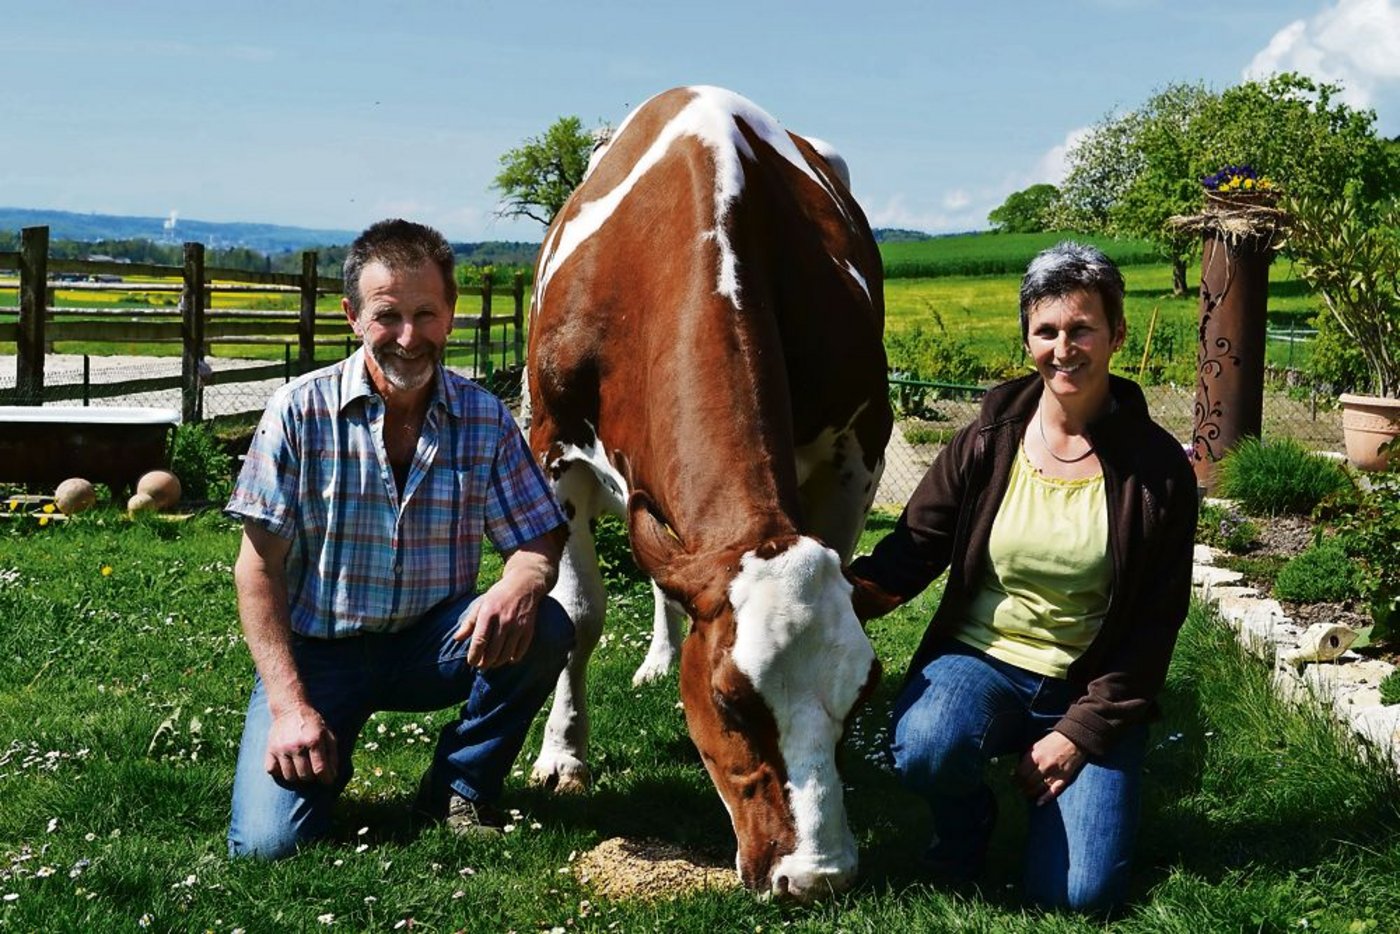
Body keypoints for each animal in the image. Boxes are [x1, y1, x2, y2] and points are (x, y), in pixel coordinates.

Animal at [525, 86, 893, 901]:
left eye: (865, 692)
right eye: (729, 700)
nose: (815, 877)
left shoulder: (860, 454)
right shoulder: (554, 451)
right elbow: (579, 614)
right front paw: (563, 755)